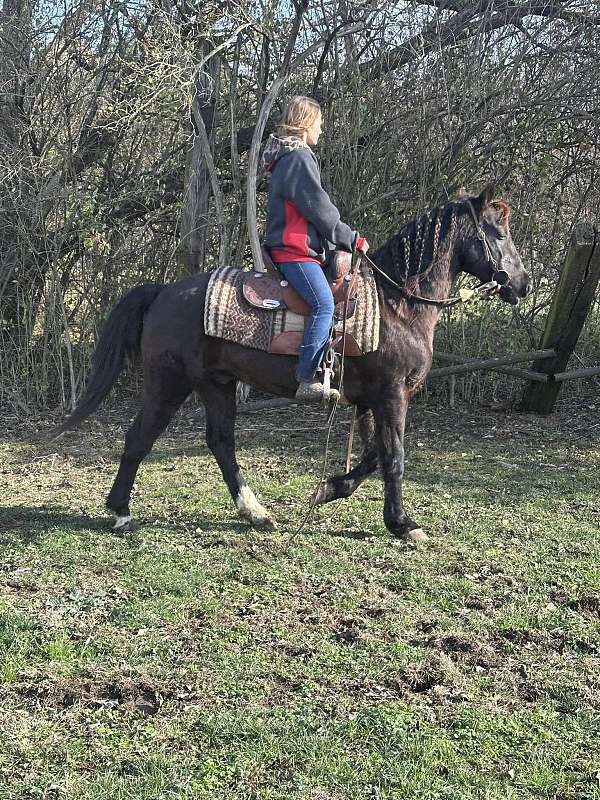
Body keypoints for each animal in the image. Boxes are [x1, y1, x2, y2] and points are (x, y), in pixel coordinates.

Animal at [57, 184, 528, 540]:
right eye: (497, 232)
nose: (522, 284)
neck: (398, 304)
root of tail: (164, 292)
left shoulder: (369, 399)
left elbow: (373, 455)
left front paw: (326, 490)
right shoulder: (393, 394)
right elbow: (394, 456)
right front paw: (402, 524)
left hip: (217, 384)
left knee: (221, 442)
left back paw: (255, 512)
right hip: (168, 383)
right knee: (140, 438)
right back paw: (121, 511)